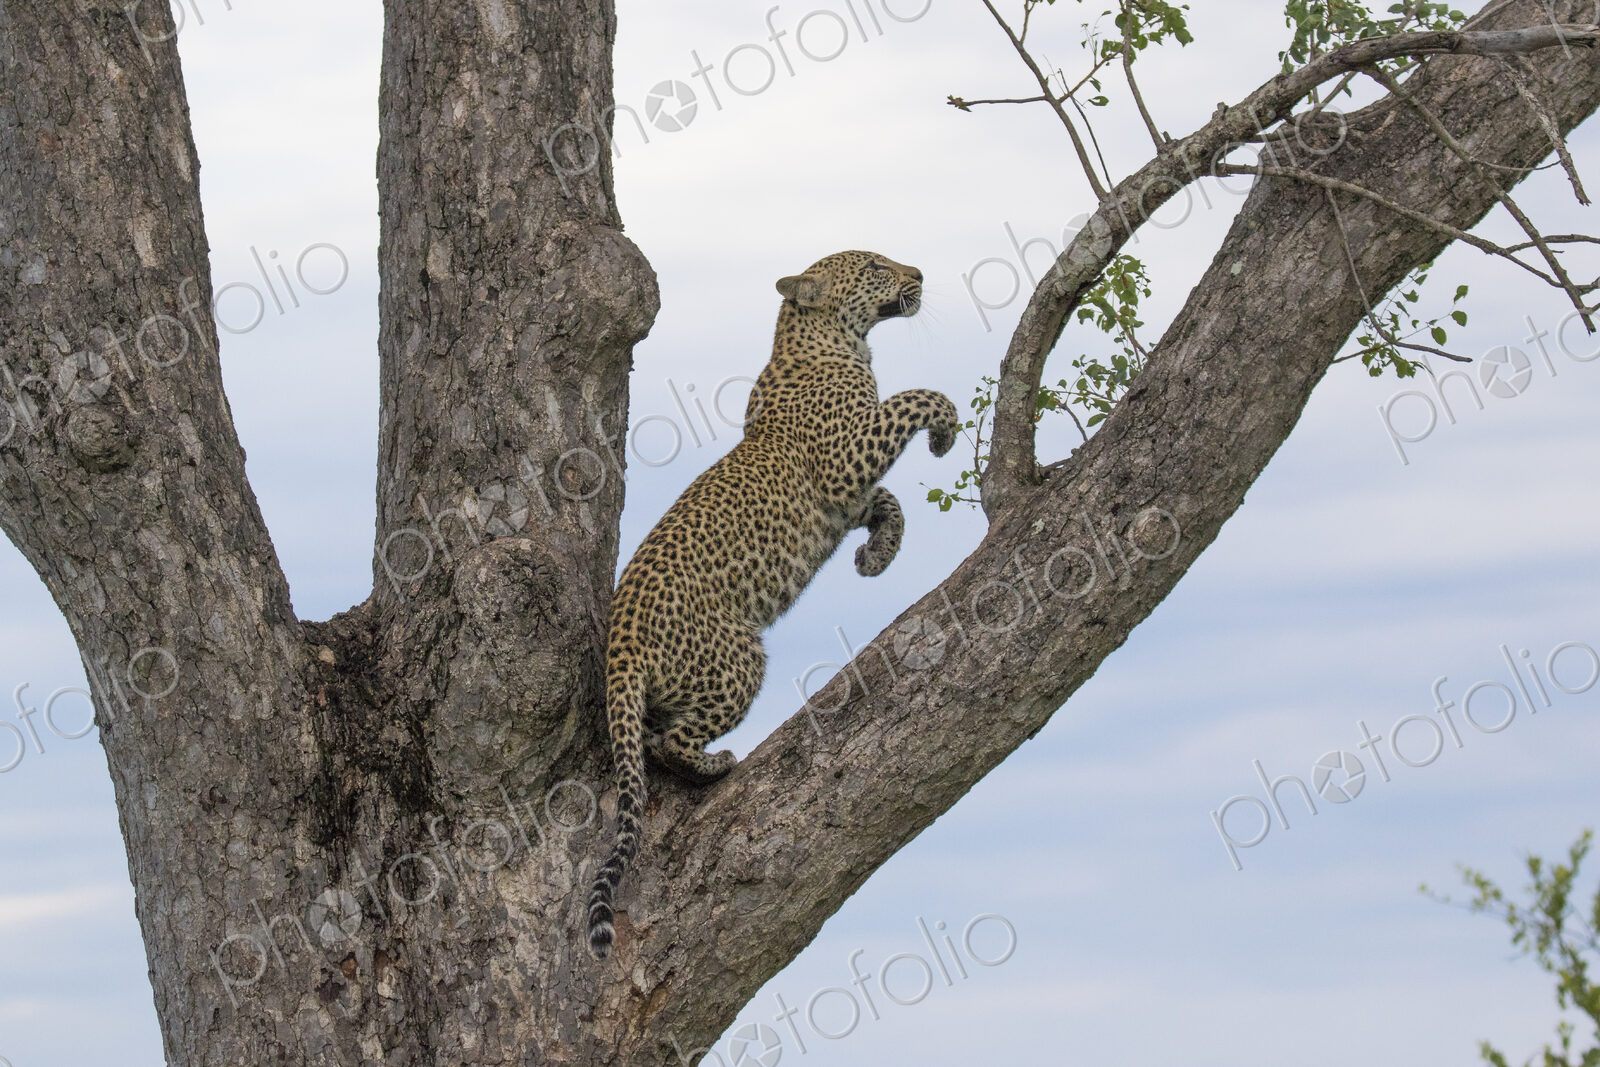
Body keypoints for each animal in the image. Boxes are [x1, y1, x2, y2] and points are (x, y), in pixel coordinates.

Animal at [586, 249, 960, 960]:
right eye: (875, 264)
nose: (921, 274)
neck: (840, 343)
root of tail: (619, 644)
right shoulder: (845, 459)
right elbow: (913, 398)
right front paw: (946, 428)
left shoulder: (846, 495)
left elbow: (889, 502)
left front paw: (876, 556)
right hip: (736, 659)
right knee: (666, 741)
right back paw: (714, 765)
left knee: (649, 738)